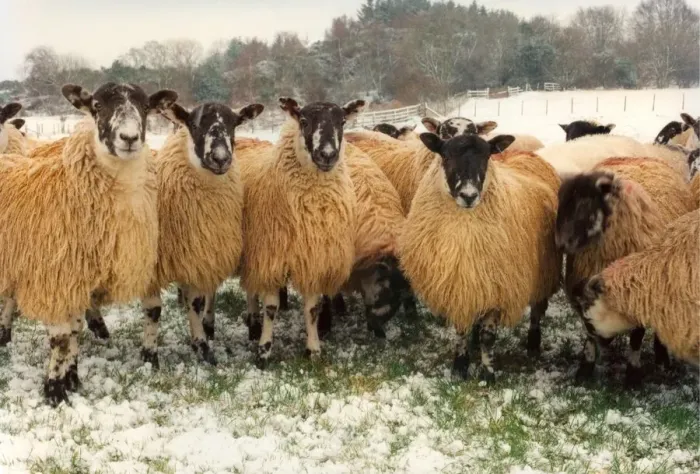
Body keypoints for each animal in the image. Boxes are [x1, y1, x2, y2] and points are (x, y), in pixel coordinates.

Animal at [0, 82, 177, 406]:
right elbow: (61, 339)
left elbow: (74, 330)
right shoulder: (54, 280)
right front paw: (55, 392)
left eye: (146, 106)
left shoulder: (77, 279)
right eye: (97, 105)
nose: (129, 138)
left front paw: (71, 378)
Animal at [135, 100, 264, 369]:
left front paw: (202, 346)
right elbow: (153, 310)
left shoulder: (196, 257)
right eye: (194, 125)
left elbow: (195, 304)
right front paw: (150, 356)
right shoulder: (150, 266)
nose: (220, 158)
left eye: (234, 124)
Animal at [239, 98, 362, 364]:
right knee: (251, 290)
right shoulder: (270, 258)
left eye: (342, 121)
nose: (327, 155)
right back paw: (253, 324)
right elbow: (270, 308)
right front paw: (264, 349)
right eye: (304, 121)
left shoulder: (313, 258)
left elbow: (312, 310)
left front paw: (313, 349)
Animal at [399, 132, 561, 382]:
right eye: (446, 156)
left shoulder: (497, 288)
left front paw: (488, 373)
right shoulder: (463, 285)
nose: (468, 195)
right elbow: (462, 330)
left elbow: (488, 337)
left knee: (537, 310)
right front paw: (460, 367)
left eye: (486, 157)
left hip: (544, 271)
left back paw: (533, 343)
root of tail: (525, 153)